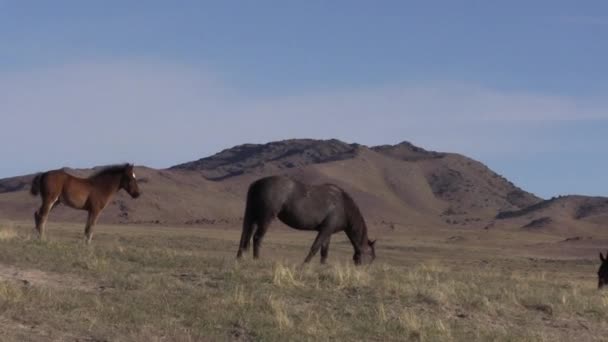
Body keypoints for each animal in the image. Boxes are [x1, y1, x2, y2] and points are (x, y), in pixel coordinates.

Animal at [236, 175, 376, 266]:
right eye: (371, 256)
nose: (364, 271)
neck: (343, 206)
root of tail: (257, 183)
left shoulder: (328, 231)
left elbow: (324, 250)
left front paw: (323, 266)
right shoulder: (325, 230)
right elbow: (315, 247)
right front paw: (305, 264)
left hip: (252, 217)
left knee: (245, 236)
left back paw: (240, 257)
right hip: (266, 218)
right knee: (257, 237)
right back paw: (256, 259)